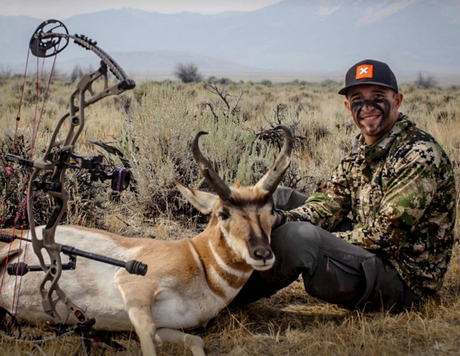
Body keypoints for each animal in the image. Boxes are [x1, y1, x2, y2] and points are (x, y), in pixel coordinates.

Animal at [0, 126, 292, 356]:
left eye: (272, 211)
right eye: (223, 213)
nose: (263, 254)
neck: (199, 260)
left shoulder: (169, 326)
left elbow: (194, 341)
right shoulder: (134, 286)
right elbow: (148, 338)